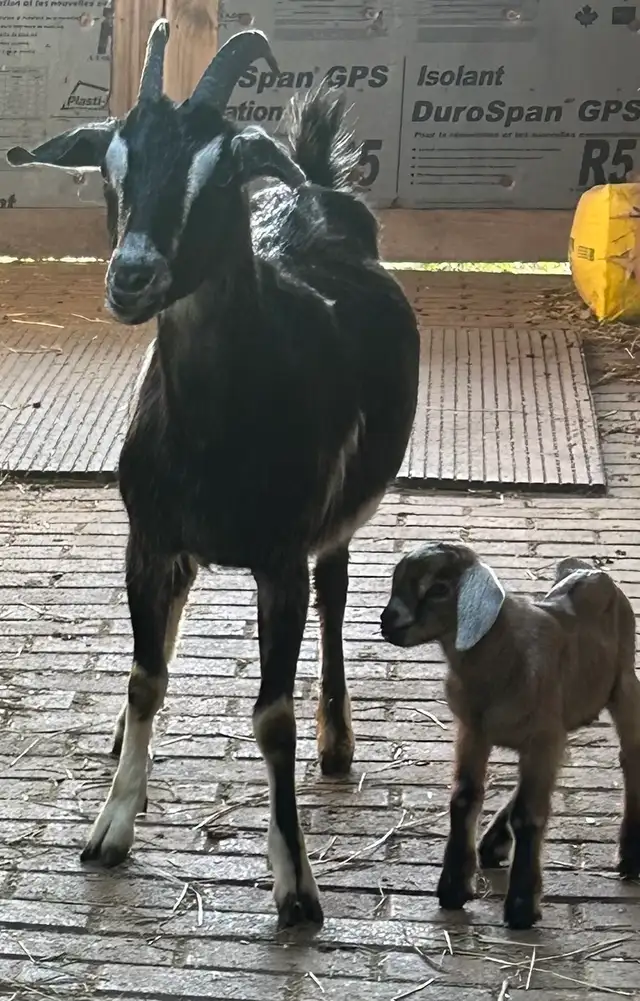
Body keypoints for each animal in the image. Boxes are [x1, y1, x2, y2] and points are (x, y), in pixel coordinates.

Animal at [7, 21, 420, 928]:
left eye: (221, 168)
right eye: (111, 166)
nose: (131, 277)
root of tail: (315, 188)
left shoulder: (279, 558)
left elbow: (272, 715)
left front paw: (296, 883)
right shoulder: (149, 537)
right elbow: (144, 676)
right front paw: (111, 825)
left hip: (338, 520)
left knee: (336, 591)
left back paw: (338, 740)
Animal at [381, 542, 640, 930]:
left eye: (439, 588)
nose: (387, 622)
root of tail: (592, 573)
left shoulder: (542, 738)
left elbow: (528, 815)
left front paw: (521, 906)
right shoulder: (474, 732)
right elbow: (465, 797)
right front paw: (454, 888)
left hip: (623, 684)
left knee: (629, 756)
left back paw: (630, 855)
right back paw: (492, 844)